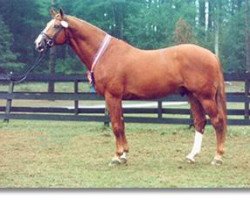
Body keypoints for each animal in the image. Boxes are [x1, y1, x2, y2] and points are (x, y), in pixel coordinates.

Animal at [35, 9, 229, 166]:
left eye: (56, 26)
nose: (38, 44)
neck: (105, 53)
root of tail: (212, 55)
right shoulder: (118, 99)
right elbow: (121, 123)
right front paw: (124, 155)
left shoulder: (112, 96)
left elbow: (116, 125)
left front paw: (117, 156)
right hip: (192, 96)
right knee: (200, 122)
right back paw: (192, 156)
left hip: (205, 97)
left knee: (217, 121)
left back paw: (218, 157)